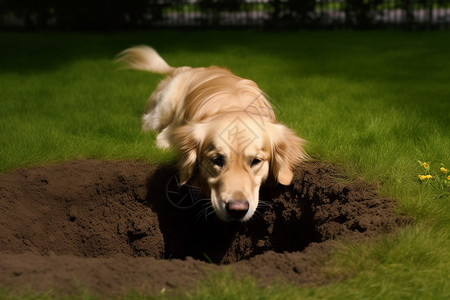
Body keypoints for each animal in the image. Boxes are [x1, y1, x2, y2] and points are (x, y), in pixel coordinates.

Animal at [116, 45, 308, 221]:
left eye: (256, 161)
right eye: (217, 159)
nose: (237, 209)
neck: (234, 106)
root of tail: (190, 67)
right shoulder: (166, 137)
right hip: (163, 109)